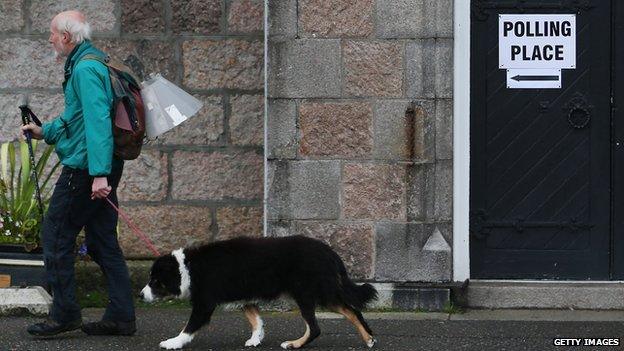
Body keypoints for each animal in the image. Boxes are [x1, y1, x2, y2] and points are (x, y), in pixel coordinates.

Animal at [140, 236, 376, 350]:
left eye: (155, 282)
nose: (141, 296)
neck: (188, 267)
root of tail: (329, 251)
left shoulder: (204, 304)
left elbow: (188, 328)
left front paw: (173, 343)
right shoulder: (246, 296)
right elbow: (256, 320)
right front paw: (256, 339)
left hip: (308, 292)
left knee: (316, 327)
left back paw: (294, 344)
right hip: (321, 291)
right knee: (352, 310)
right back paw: (369, 339)